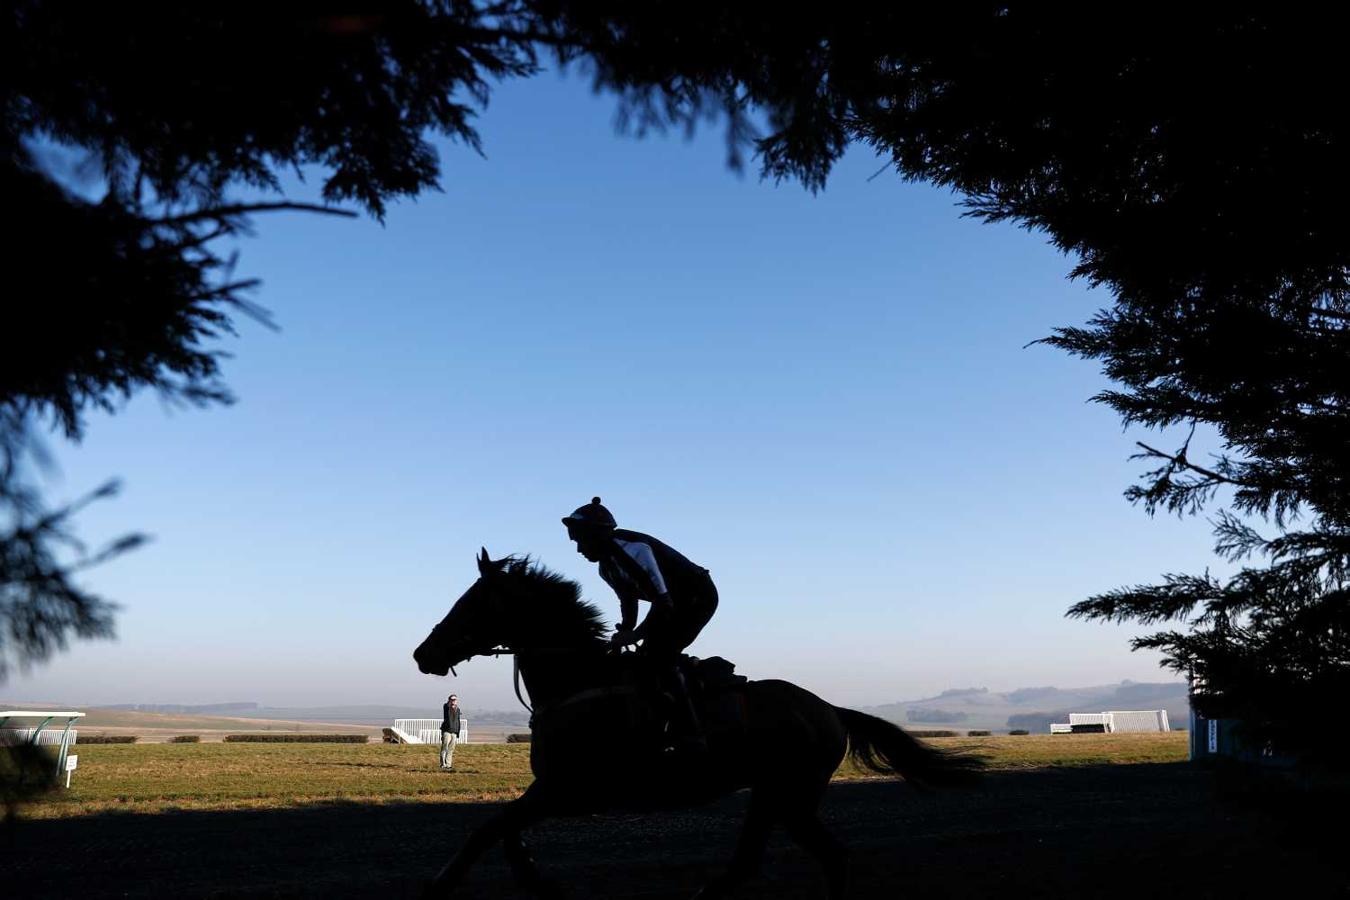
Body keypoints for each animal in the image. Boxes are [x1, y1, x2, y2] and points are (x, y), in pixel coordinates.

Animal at [413, 553, 982, 895]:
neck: (579, 682)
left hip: (792, 795)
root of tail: (831, 710)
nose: (424, 653)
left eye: (470, 603)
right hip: (771, 794)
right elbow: (505, 833)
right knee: (752, 862)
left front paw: (440, 883)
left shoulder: (574, 790)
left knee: (828, 856)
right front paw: (535, 880)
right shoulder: (553, 791)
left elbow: (488, 829)